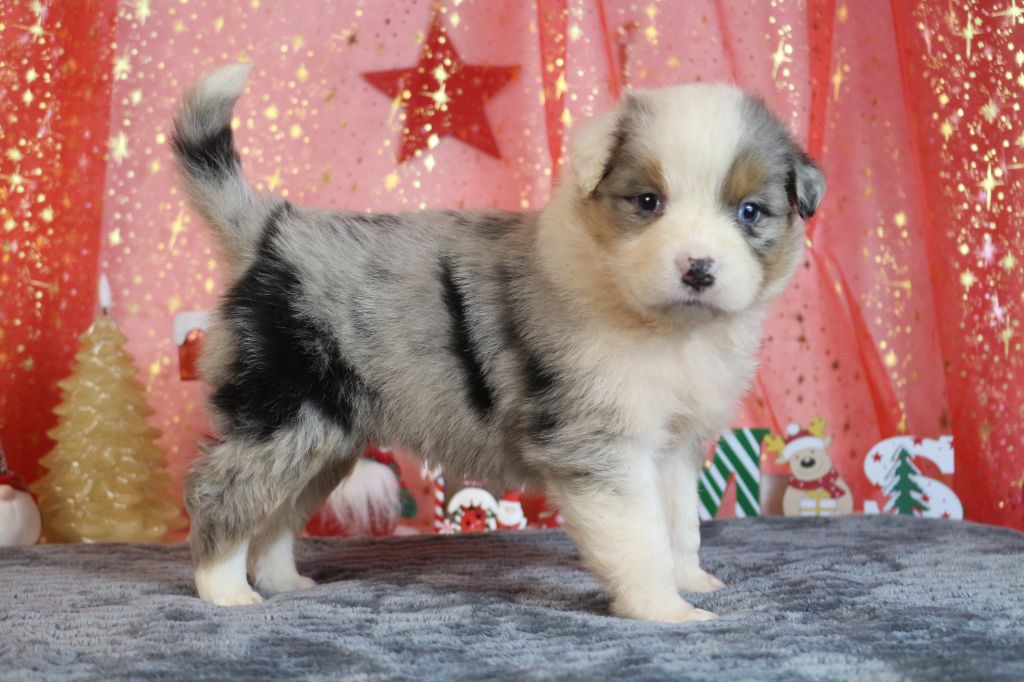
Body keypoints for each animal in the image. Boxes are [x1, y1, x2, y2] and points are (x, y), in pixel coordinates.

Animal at [169, 65, 823, 622]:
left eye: (750, 212)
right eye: (647, 202)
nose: (698, 269)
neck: (663, 326)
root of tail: (270, 232)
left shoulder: (673, 442)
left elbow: (680, 521)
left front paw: (692, 581)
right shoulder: (600, 442)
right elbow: (640, 534)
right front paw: (667, 610)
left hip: (328, 434)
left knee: (279, 513)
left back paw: (280, 580)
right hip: (281, 414)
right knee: (221, 491)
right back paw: (224, 590)